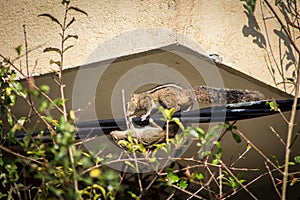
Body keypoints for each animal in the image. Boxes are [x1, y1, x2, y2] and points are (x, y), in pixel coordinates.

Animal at [126, 83, 264, 120]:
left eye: (127, 105)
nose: (127, 114)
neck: (139, 98)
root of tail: (186, 92)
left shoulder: (147, 101)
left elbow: (149, 109)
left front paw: (144, 115)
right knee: (190, 102)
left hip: (166, 98)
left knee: (177, 107)